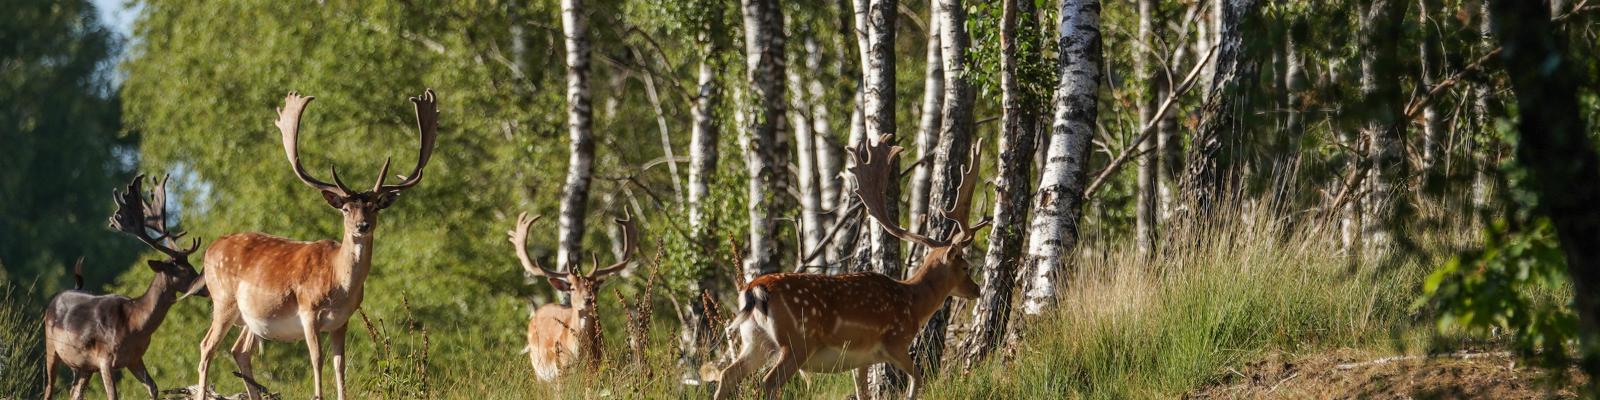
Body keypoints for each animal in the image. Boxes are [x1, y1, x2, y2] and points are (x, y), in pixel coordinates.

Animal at [44, 175, 206, 400]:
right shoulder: (104, 358)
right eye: (182, 270)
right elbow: (113, 395)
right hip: (51, 347)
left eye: (191, 266)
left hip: (84, 366)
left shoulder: (135, 358)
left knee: (75, 392)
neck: (135, 325)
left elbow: (153, 388)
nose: (205, 287)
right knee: (49, 388)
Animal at [192, 90, 438, 400]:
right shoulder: (308, 310)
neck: (339, 282)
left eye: (374, 207)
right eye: (346, 209)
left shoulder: (342, 320)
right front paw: (318, 394)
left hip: (251, 317)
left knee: (240, 351)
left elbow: (340, 365)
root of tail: (210, 248)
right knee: (206, 347)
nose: (362, 226)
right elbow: (317, 359)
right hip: (223, 299)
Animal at [508, 211, 640, 379]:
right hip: (538, 365)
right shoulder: (560, 370)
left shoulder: (595, 367)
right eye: (572, 288)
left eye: (595, 287)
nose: (588, 299)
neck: (577, 354)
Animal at [713, 132, 985, 398]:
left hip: (754, 340)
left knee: (726, 375)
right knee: (768, 382)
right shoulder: (894, 341)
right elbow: (917, 378)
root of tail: (754, 289)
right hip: (796, 341)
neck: (913, 304)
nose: (977, 289)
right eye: (965, 266)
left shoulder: (861, 359)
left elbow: (863, 392)